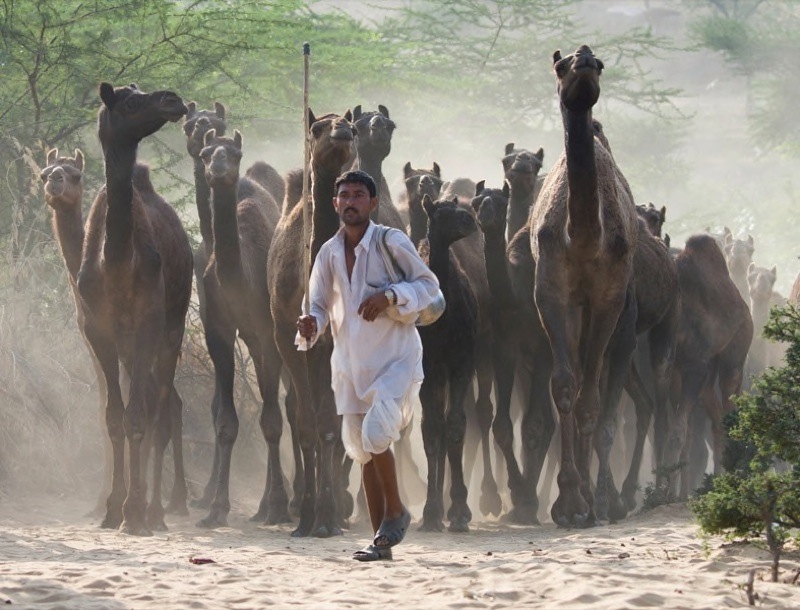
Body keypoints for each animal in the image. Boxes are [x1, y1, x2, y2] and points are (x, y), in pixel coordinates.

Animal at [76, 82, 192, 535]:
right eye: (129, 101)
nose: (173, 99)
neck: (117, 263)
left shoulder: (148, 326)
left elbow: (139, 418)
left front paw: (134, 512)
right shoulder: (98, 332)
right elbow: (114, 418)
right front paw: (112, 509)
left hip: (171, 329)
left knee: (161, 411)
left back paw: (155, 510)